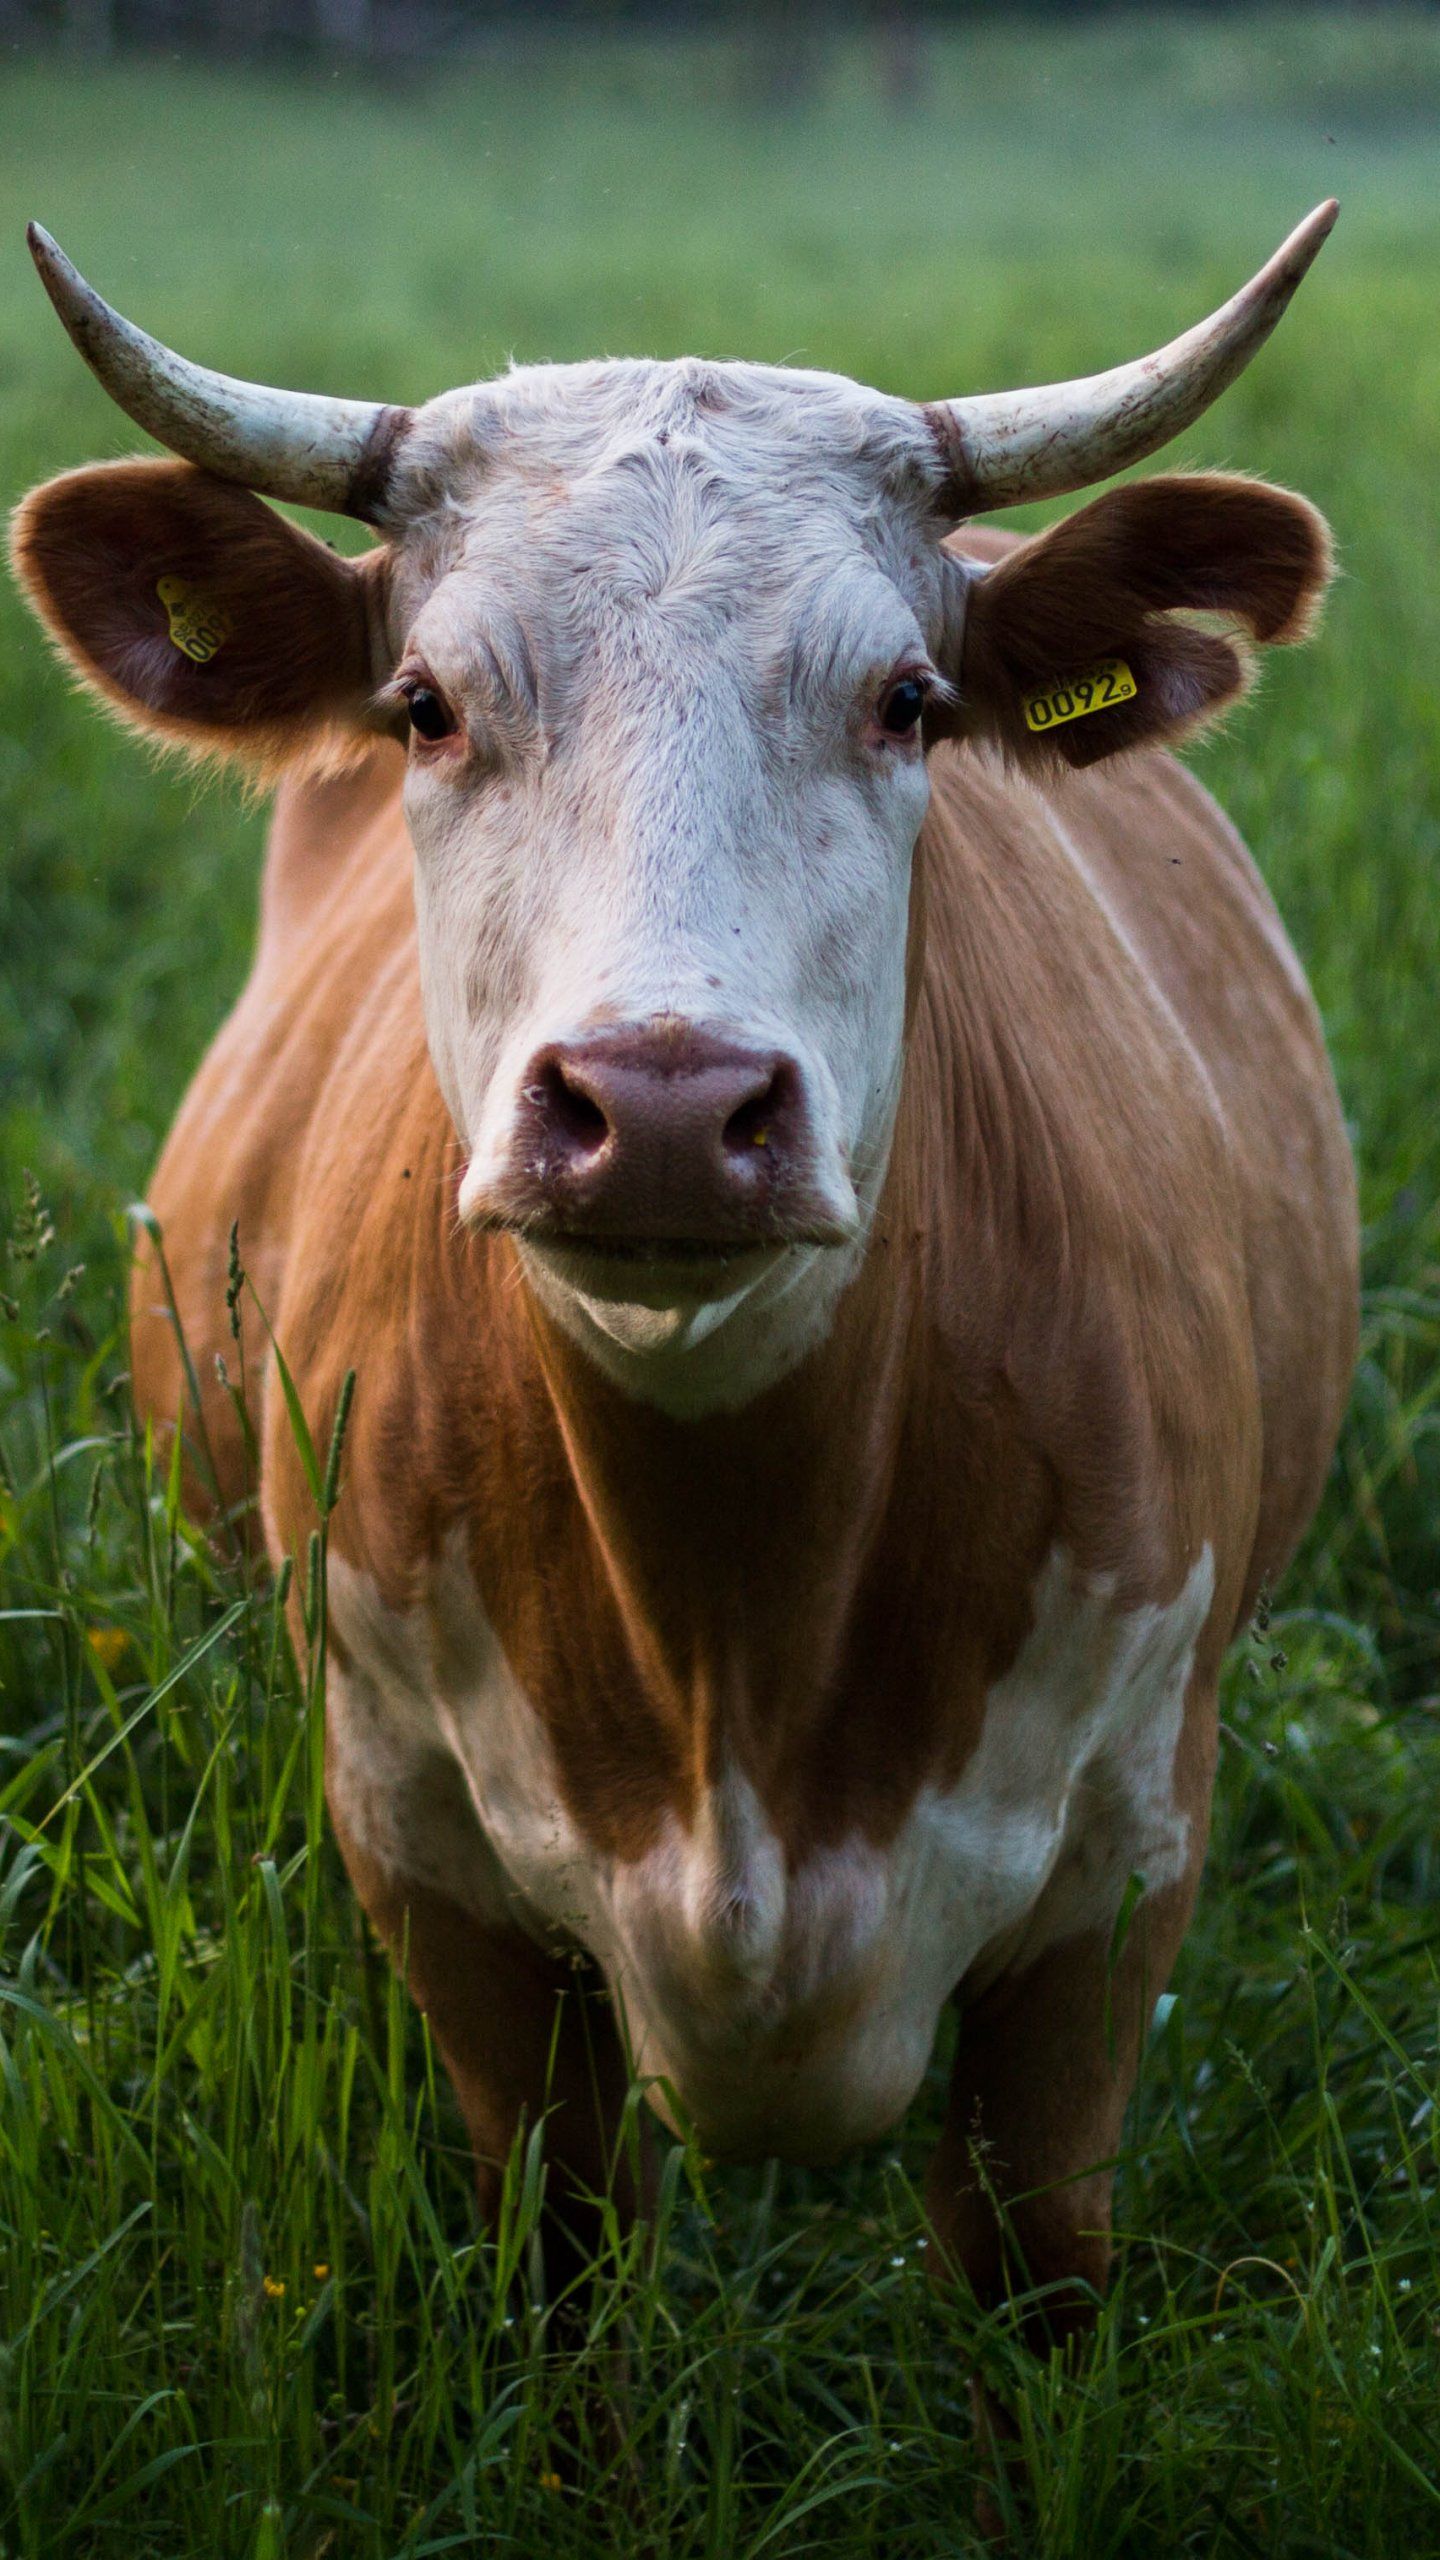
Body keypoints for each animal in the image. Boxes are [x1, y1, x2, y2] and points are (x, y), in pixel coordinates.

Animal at [11, 209, 1352, 2406]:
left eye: (908, 700)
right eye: (425, 704)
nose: (658, 1107)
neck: (738, 1623)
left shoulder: (1120, 1881)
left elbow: (1037, 2283)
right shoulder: (430, 1868)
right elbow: (563, 2276)